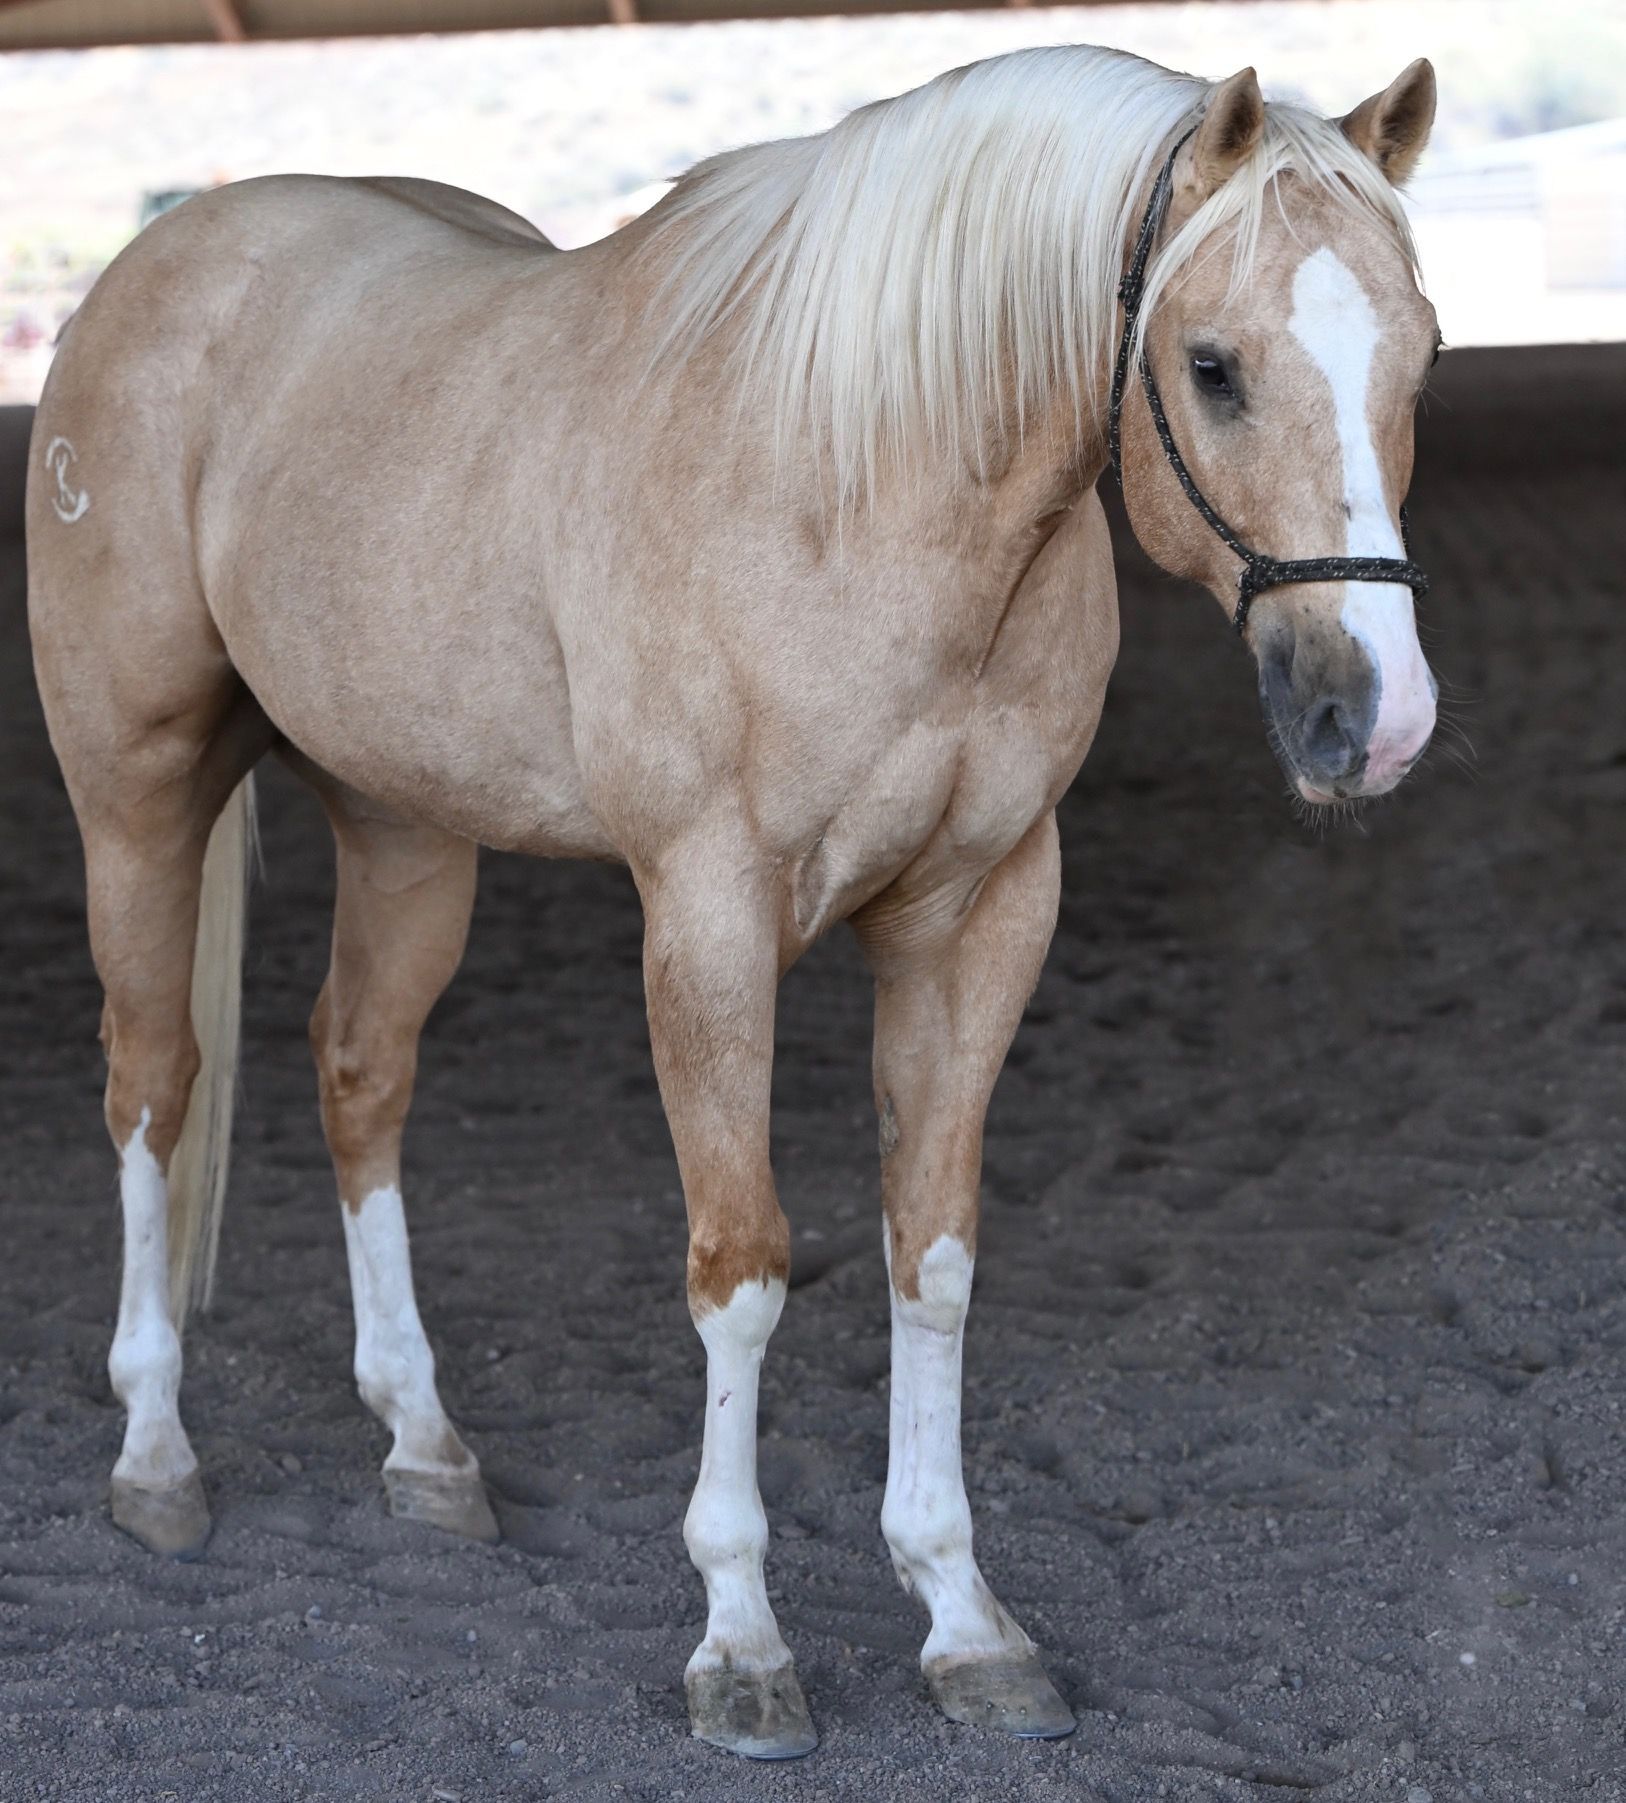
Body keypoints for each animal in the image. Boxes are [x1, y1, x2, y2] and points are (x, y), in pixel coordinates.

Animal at [26, 44, 1441, 1758]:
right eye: (1215, 365)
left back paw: (424, 1443)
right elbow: (743, 1267)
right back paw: (156, 1454)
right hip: (137, 791)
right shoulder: (704, 912)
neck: (852, 482)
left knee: (360, 1071)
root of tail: (151, 267)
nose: (1371, 718)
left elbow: (931, 1252)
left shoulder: (983, 910)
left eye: (1424, 351)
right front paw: (742, 1640)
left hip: (403, 820)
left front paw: (963, 1615)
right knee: (151, 1081)